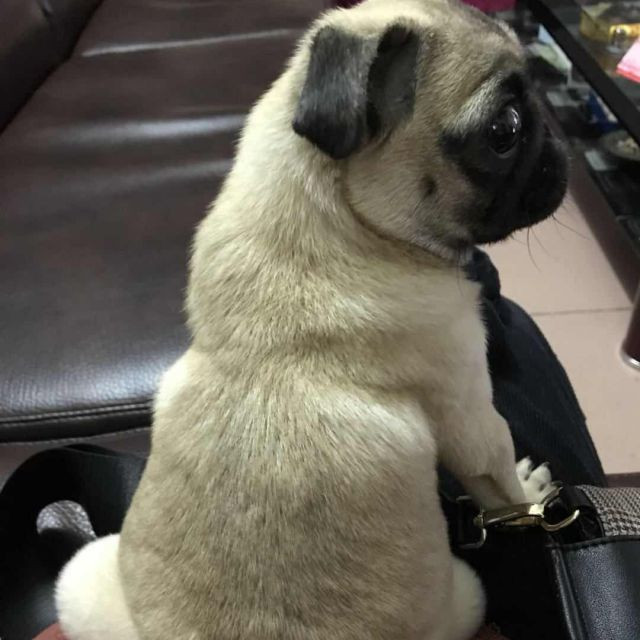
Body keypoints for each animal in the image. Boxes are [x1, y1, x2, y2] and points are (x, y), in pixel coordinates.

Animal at [56, 0, 567, 638]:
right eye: (506, 131)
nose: (557, 138)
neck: (346, 227)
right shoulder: (469, 410)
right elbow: (499, 484)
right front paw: (529, 495)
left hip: (82, 574)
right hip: (469, 592)